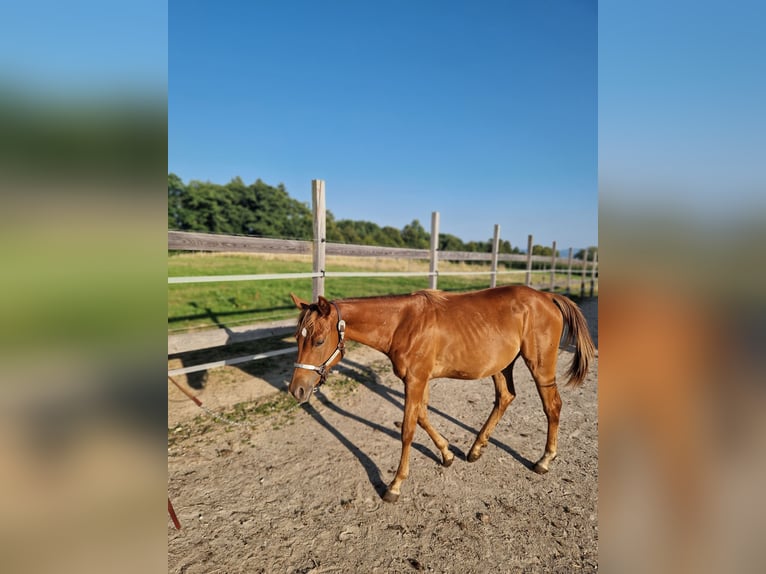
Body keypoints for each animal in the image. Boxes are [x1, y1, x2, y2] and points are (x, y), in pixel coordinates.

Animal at [288, 285, 595, 503]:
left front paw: (395, 485)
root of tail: (547, 296)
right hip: (501, 365)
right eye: (297, 339)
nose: (297, 390)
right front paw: (447, 454)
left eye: (318, 340)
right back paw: (475, 448)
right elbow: (423, 416)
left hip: (540, 366)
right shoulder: (419, 381)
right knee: (505, 397)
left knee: (552, 405)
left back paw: (544, 460)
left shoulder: (415, 380)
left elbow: (408, 429)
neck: (402, 324)